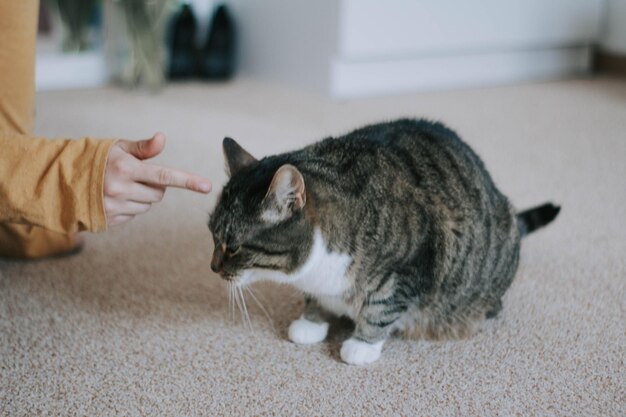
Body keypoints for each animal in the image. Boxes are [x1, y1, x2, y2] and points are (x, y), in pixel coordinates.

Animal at [207, 118, 560, 364]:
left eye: (233, 246)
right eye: (212, 234)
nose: (212, 267)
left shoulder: (411, 263)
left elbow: (382, 306)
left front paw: (361, 345)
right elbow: (314, 299)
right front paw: (311, 322)